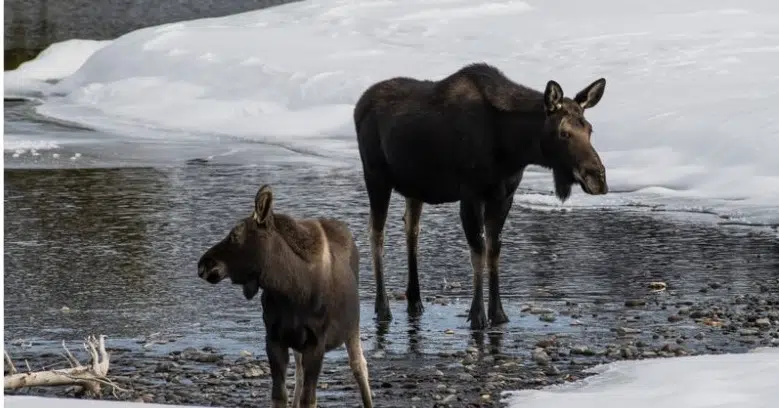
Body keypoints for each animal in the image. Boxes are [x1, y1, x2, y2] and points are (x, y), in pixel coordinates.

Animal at [198, 185, 374, 408]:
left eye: (235, 234)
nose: (203, 263)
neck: (289, 291)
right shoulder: (274, 338)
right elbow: (280, 395)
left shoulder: (316, 342)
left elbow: (309, 399)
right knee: (299, 374)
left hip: (352, 328)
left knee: (359, 365)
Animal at [356, 63, 612, 330]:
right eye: (564, 133)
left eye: (589, 129)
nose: (598, 178)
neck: (513, 148)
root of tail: (359, 104)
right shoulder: (470, 194)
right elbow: (478, 251)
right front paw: (477, 315)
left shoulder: (504, 195)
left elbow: (494, 249)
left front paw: (498, 313)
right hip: (375, 176)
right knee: (376, 233)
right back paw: (383, 307)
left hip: (415, 187)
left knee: (412, 229)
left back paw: (415, 301)